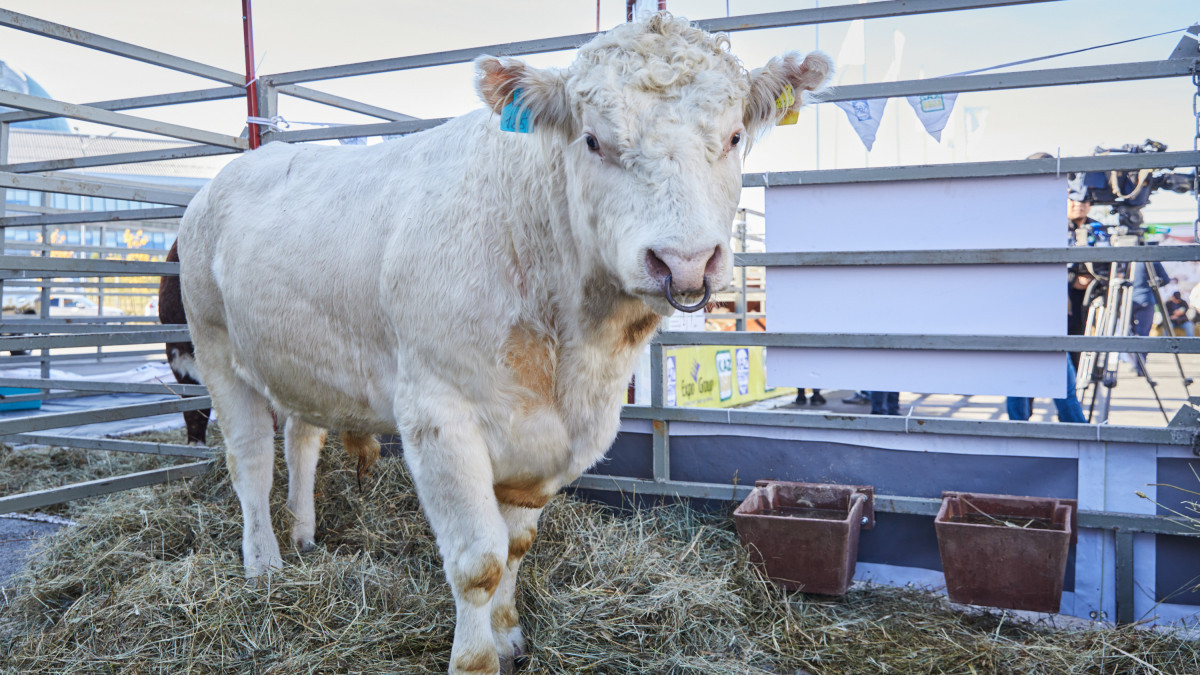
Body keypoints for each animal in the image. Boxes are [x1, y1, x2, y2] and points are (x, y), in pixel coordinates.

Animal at [180, 11, 825, 672]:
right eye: (592, 140)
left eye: (734, 137)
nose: (685, 261)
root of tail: (241, 164)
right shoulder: (439, 415)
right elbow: (479, 564)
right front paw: (475, 658)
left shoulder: (552, 439)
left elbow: (517, 545)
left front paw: (509, 635)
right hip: (215, 348)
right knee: (251, 460)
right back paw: (263, 562)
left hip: (299, 360)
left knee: (302, 438)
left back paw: (304, 533)